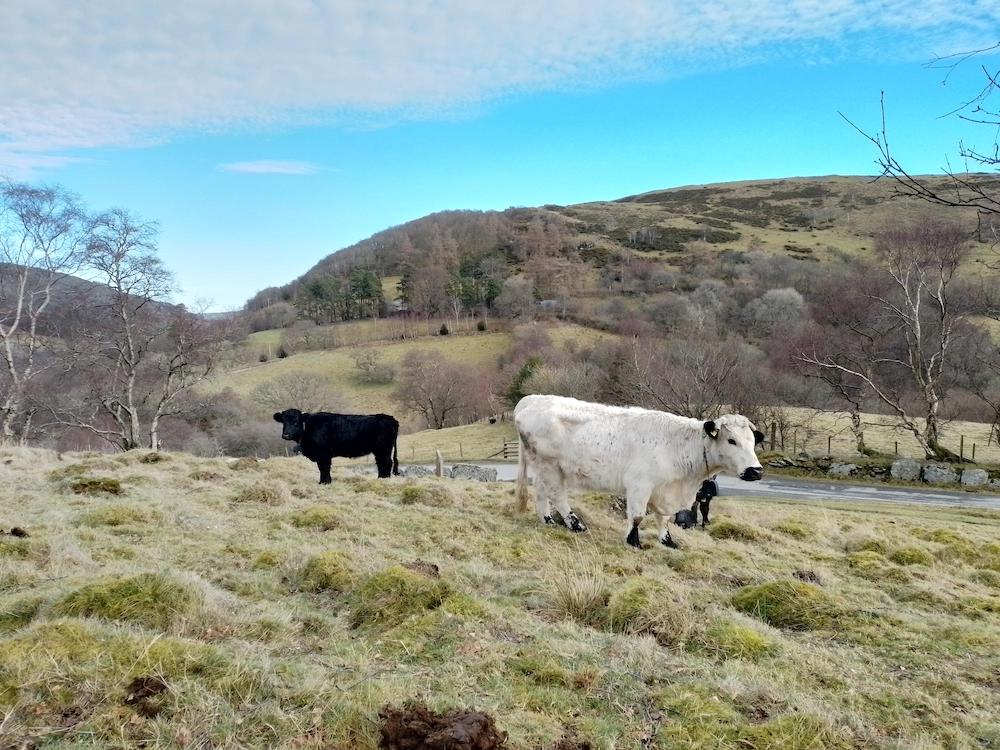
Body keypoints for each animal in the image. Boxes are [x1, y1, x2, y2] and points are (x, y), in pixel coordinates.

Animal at [516, 396, 764, 548]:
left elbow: (664, 518)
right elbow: (637, 516)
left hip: (543, 467)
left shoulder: (664, 490)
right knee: (557, 495)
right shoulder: (639, 485)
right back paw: (576, 525)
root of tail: (531, 399)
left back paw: (548, 520)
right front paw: (633, 541)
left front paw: (667, 541)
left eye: (753, 442)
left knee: (541, 492)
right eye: (731, 440)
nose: (756, 471)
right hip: (550, 465)